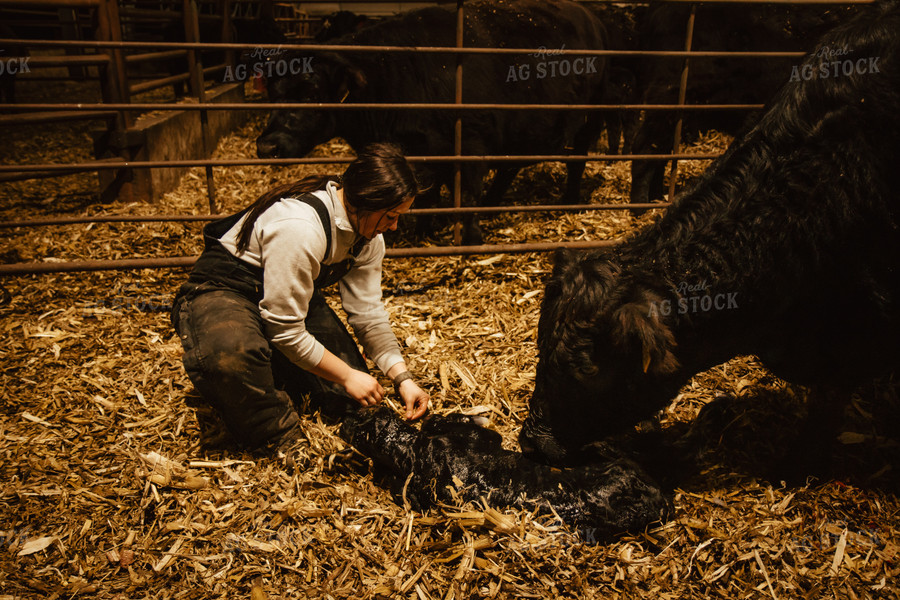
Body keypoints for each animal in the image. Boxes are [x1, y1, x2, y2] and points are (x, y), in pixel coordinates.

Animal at [256, 0, 616, 245]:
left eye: (311, 91)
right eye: (273, 92)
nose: (266, 145)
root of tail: (591, 16)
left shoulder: (469, 144)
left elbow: (466, 195)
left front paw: (471, 239)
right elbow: (427, 194)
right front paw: (423, 230)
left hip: (588, 120)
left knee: (576, 160)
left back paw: (568, 201)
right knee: (509, 167)